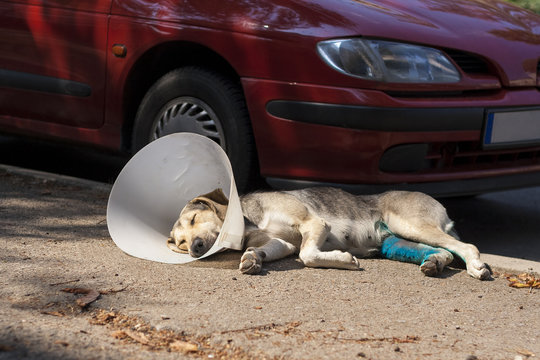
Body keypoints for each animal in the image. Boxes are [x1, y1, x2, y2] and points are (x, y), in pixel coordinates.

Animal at [167, 187, 492, 280]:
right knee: (446, 251)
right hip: (402, 239)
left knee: (467, 246)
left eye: (194, 218)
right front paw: (251, 259)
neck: (250, 221)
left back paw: (477, 268)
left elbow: (308, 255)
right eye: (181, 244)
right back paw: (434, 264)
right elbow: (270, 250)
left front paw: (345, 260)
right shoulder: (281, 243)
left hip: (410, 225)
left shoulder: (314, 224)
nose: (195, 247)